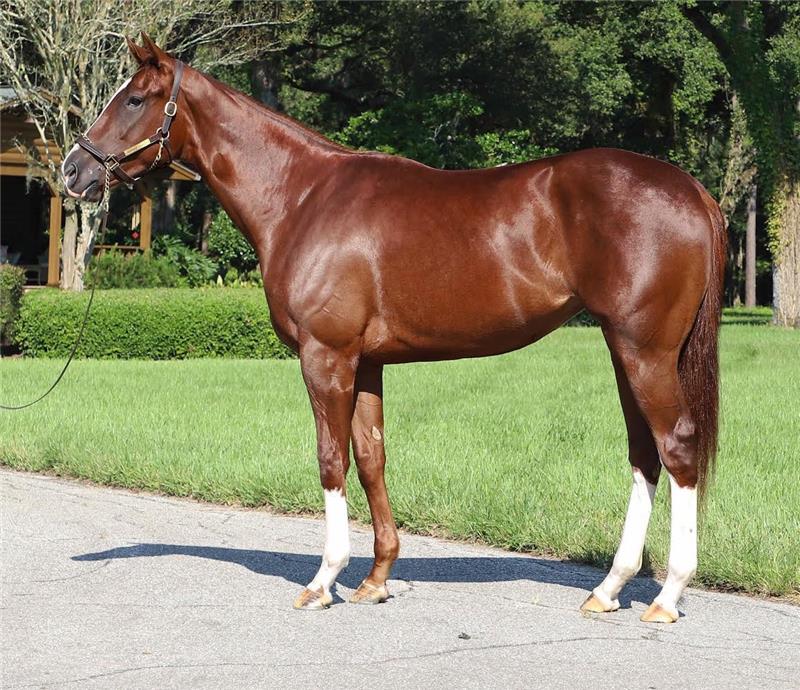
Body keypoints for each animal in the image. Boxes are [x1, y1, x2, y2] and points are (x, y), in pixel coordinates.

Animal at [62, 34, 725, 623]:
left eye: (134, 98)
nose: (72, 172)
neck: (302, 196)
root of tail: (691, 189)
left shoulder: (325, 357)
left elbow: (331, 459)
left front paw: (324, 579)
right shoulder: (367, 363)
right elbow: (371, 456)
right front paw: (376, 579)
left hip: (645, 352)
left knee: (677, 446)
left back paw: (667, 596)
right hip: (624, 349)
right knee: (643, 454)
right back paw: (609, 589)